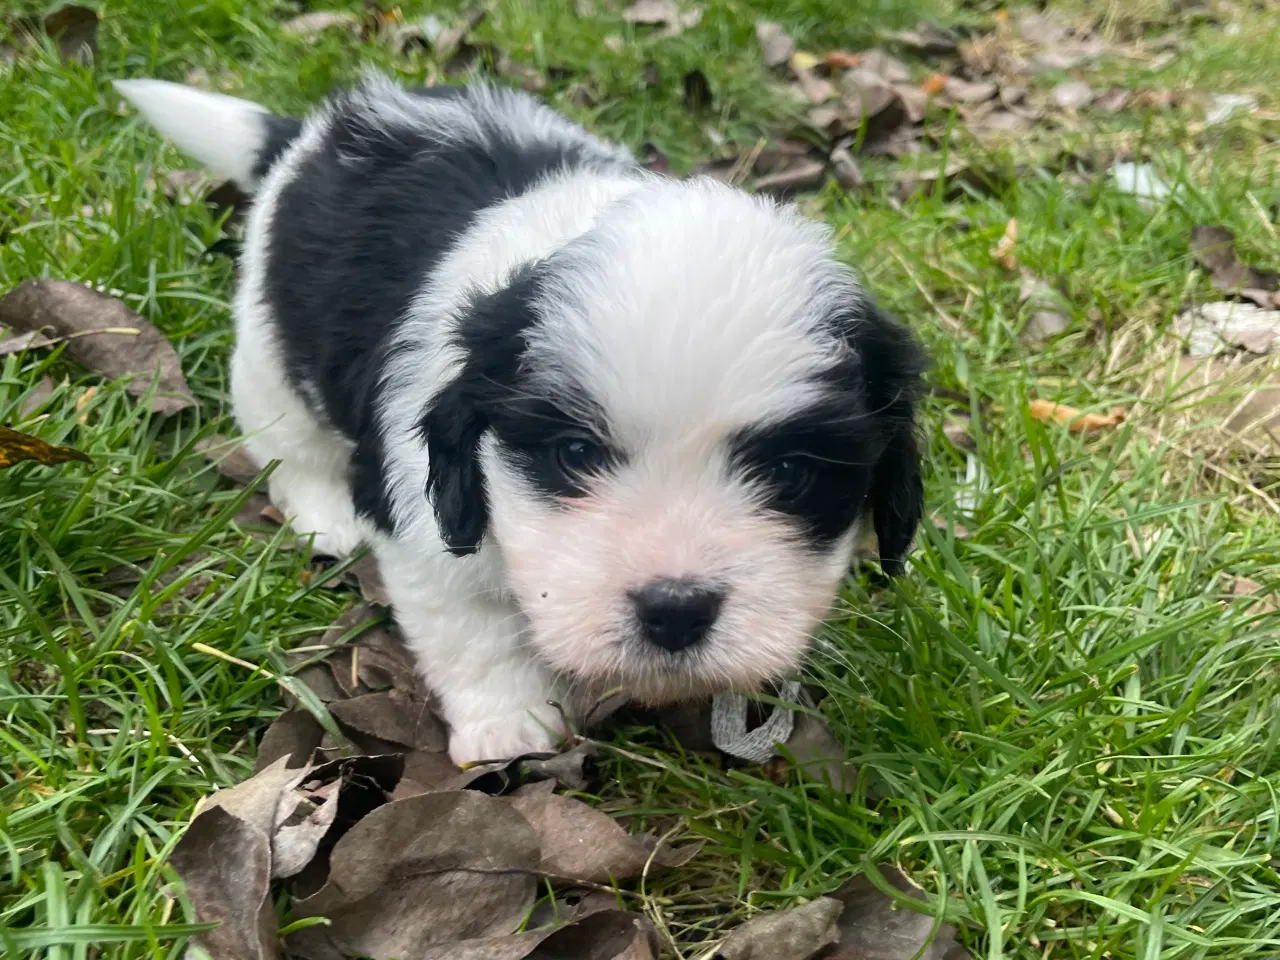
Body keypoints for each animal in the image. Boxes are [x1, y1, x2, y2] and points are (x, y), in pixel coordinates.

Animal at [117, 75, 921, 768]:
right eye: (574, 452)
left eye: (790, 471)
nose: (675, 610)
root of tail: (320, 129)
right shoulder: (425, 517)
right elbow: (473, 629)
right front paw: (512, 724)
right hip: (270, 340)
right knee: (287, 434)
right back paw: (324, 515)